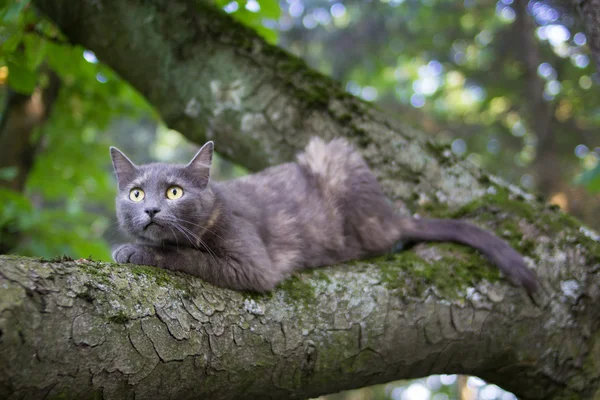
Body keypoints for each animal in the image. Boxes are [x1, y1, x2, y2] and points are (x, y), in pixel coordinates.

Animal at [110, 139, 536, 292]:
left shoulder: (253, 266)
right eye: (136, 193)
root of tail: (390, 214)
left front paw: (134, 251)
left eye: (174, 192)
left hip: (335, 162)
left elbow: (186, 256)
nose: (151, 208)